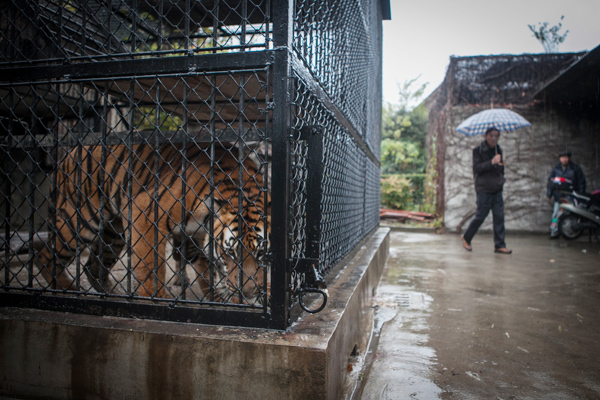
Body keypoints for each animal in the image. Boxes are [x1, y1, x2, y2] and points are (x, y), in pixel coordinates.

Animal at [36, 142, 270, 304]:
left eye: (261, 253)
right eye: (231, 253)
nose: (248, 292)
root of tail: (68, 153)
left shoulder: (197, 238)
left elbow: (208, 272)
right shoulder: (146, 212)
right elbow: (151, 266)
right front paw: (158, 299)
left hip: (113, 235)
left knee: (92, 266)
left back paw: (114, 294)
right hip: (79, 221)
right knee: (45, 254)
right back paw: (69, 289)